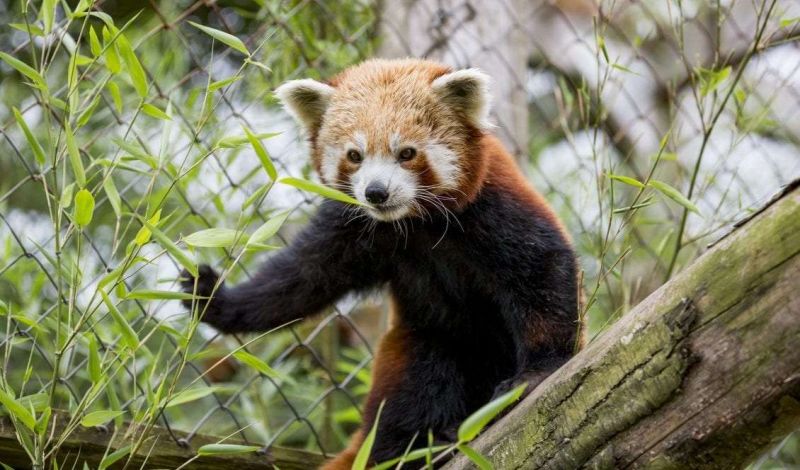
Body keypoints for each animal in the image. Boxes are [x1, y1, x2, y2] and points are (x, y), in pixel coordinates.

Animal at [182, 57, 580, 466]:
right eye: (354, 156)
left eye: (406, 153)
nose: (376, 192)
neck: (413, 223)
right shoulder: (352, 228)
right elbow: (300, 280)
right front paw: (214, 298)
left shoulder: (492, 206)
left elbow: (541, 269)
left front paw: (536, 372)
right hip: (422, 341)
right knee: (421, 379)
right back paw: (420, 444)